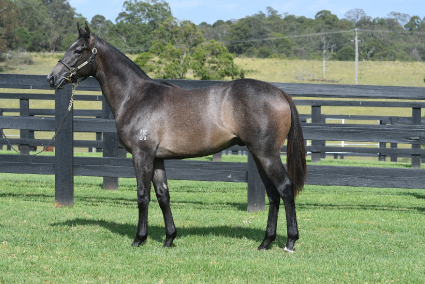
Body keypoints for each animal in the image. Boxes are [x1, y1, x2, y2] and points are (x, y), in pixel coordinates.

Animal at [45, 22, 304, 253]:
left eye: (78, 50)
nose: (51, 78)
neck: (136, 97)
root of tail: (280, 93)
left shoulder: (142, 155)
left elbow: (143, 195)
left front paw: (139, 239)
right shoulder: (158, 158)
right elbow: (163, 196)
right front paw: (169, 238)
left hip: (266, 154)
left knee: (285, 187)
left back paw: (290, 242)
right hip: (258, 155)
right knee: (273, 194)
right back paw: (265, 242)